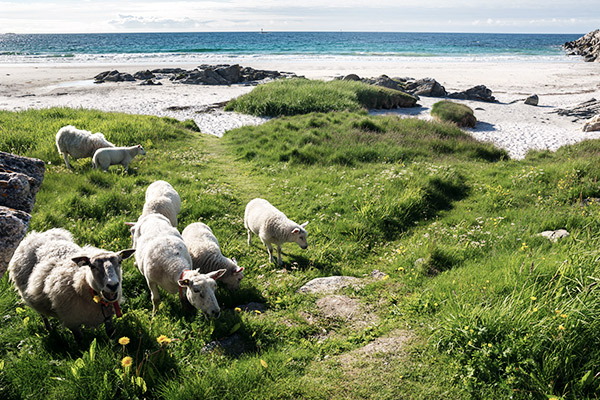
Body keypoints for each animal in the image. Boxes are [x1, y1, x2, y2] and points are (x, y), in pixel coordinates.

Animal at [7, 230, 135, 340]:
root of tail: (37, 235)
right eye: (92, 266)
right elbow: (80, 341)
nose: (113, 285)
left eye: (120, 262)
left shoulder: (108, 317)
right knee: (43, 315)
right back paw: (49, 330)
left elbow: (111, 334)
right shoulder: (71, 320)